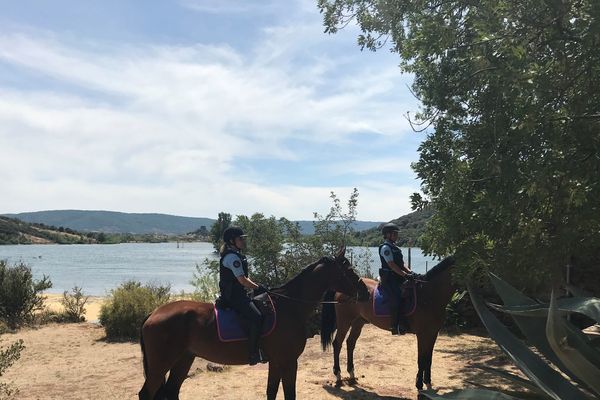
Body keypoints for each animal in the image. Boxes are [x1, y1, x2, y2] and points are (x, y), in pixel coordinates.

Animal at [138, 247, 368, 400]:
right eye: (348, 270)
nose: (365, 291)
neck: (289, 306)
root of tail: (153, 314)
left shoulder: (276, 361)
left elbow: (272, 392)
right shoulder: (288, 361)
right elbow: (289, 394)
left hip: (184, 359)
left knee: (171, 391)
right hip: (161, 365)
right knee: (146, 394)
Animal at [322, 256, 452, 390]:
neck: (428, 296)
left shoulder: (432, 334)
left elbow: (428, 359)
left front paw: (428, 382)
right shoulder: (422, 335)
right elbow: (421, 359)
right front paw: (419, 384)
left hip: (358, 322)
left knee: (350, 343)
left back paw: (352, 374)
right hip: (344, 321)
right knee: (337, 343)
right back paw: (338, 375)